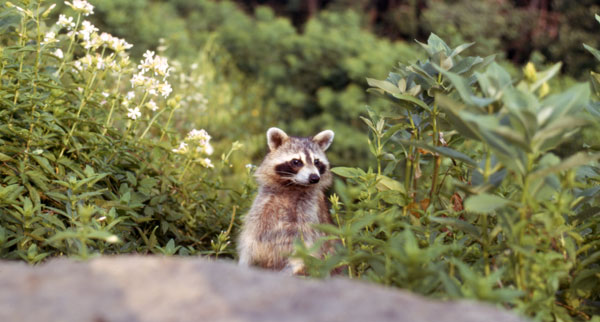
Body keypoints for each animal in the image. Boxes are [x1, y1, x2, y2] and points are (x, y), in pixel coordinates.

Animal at [237, 126, 336, 274]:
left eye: (316, 162)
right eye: (296, 162)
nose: (314, 178)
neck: (293, 186)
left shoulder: (309, 213)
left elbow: (306, 245)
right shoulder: (261, 208)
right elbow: (251, 240)